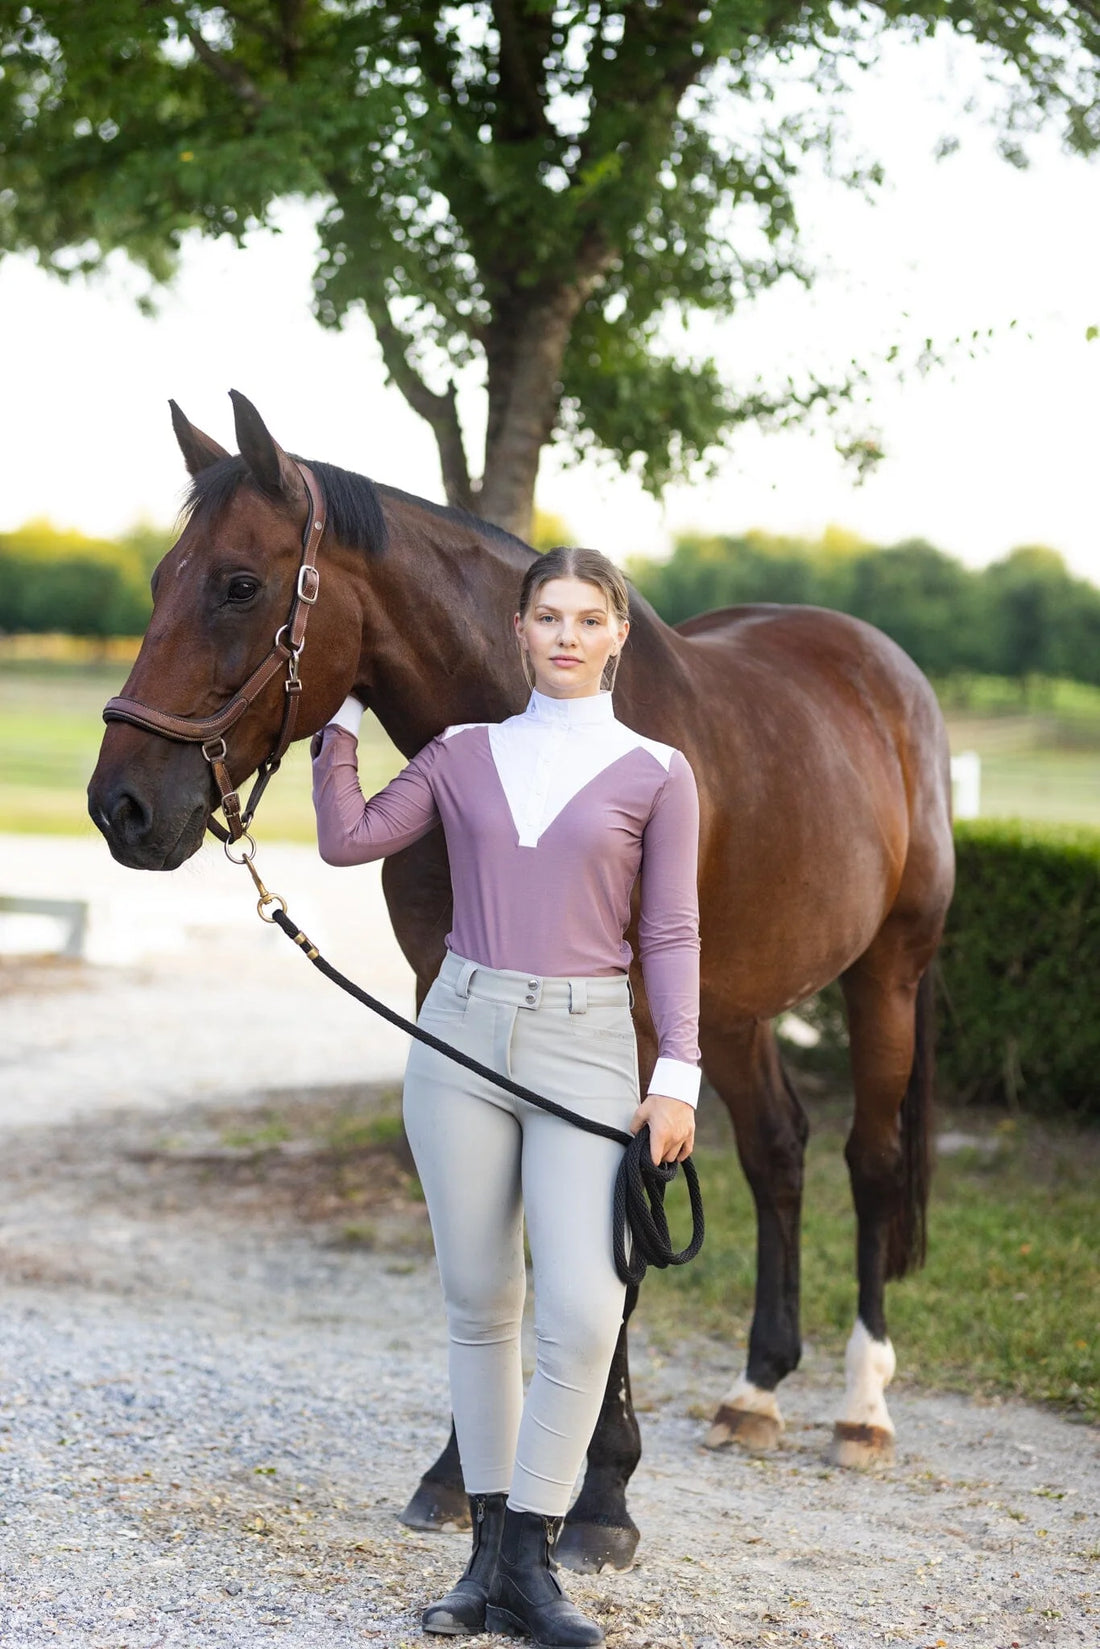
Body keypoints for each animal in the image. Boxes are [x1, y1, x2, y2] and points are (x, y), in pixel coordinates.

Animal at [88, 391, 955, 1573]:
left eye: (239, 585)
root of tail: (882, 669)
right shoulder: (450, 1005)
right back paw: (754, 1390)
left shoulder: (629, 1037)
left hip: (884, 976)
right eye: (157, 581)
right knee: (779, 1150)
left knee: (870, 1161)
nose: (121, 806)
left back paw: (862, 1406)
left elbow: (614, 1248)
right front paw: (462, 1472)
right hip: (727, 1009)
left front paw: (603, 1496)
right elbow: (494, 1241)